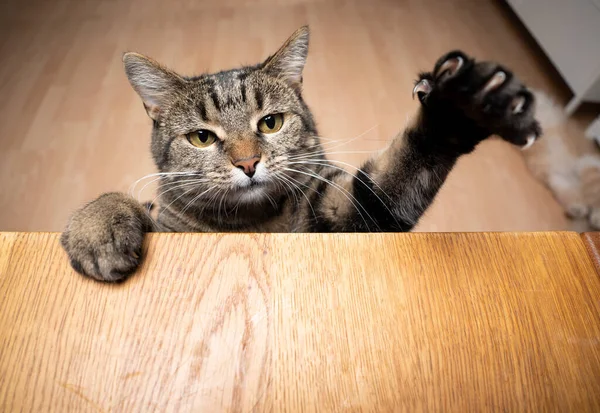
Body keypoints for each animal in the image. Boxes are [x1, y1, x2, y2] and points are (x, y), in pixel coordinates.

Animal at [62, 27, 544, 282]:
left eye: (271, 123)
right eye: (201, 137)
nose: (247, 163)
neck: (254, 225)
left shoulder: (346, 214)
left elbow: (399, 169)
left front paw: (456, 109)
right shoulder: (169, 227)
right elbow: (123, 203)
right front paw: (96, 227)